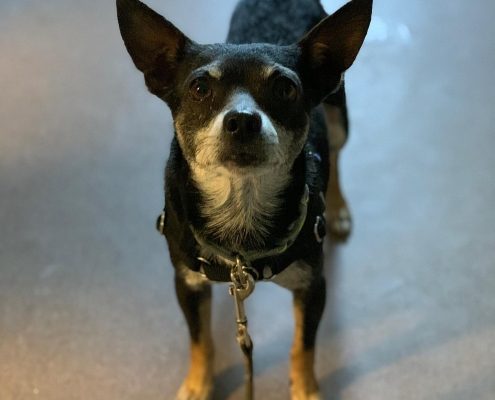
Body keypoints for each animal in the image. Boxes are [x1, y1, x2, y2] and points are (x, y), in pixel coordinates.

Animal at [117, 0, 372, 396]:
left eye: (285, 89)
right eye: (200, 88)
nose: (242, 120)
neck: (242, 205)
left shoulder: (312, 287)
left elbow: (304, 345)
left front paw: (305, 390)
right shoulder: (187, 284)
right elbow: (200, 340)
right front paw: (198, 385)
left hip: (339, 115)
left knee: (337, 148)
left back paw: (339, 208)